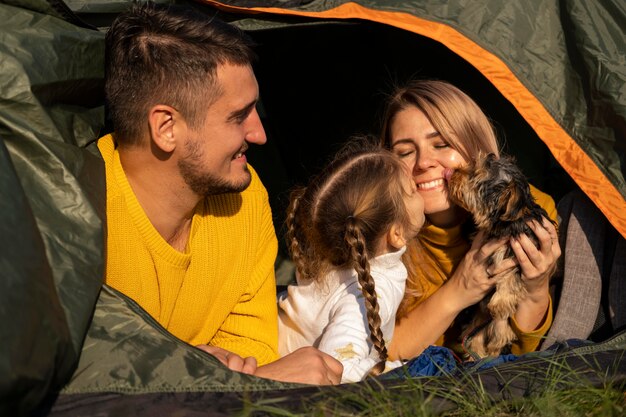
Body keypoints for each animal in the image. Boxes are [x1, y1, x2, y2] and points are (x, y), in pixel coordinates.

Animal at [444, 153, 552, 358]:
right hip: (478, 322)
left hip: (498, 325)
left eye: (475, 176)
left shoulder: (527, 246)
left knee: (498, 335)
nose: (453, 172)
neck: (506, 223)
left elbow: (512, 274)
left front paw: (500, 302)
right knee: (477, 336)